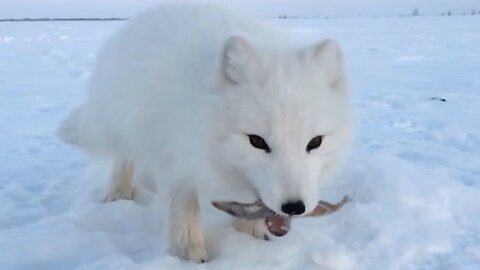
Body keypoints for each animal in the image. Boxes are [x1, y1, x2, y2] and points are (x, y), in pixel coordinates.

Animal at [59, 3, 352, 262]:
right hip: (122, 123)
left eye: (315, 142)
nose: (294, 207)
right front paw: (189, 255)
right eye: (257, 141)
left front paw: (250, 238)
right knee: (123, 155)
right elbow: (183, 208)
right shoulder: (176, 155)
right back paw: (118, 192)